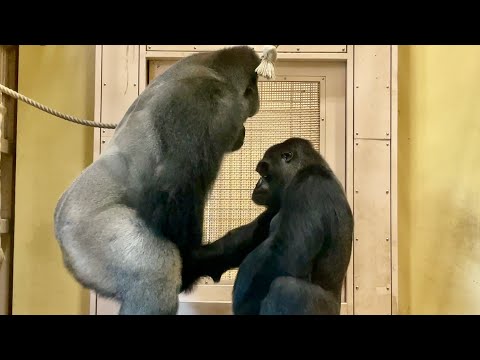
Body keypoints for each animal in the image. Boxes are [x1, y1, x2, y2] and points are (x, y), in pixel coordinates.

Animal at [54, 45, 260, 316]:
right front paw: (197, 259)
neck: (215, 71)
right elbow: (172, 192)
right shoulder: (200, 102)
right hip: (84, 231)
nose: (244, 133)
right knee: (156, 270)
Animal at [188, 138, 352, 316]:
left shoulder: (310, 186)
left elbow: (287, 256)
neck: (302, 170)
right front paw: (193, 259)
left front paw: (246, 303)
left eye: (264, 170)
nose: (258, 184)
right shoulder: (274, 205)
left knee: (287, 288)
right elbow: (243, 240)